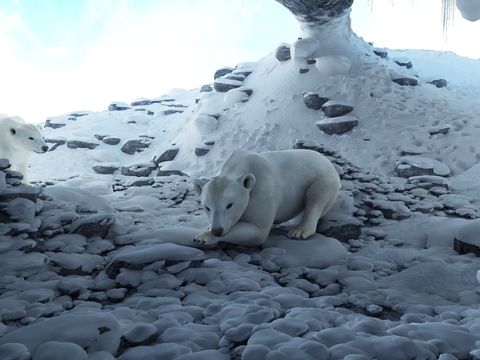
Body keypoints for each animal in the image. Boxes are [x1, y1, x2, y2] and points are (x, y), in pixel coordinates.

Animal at [193, 148, 340, 246]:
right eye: (207, 207)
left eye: (229, 205)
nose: (217, 231)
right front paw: (208, 228)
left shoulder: (262, 187)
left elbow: (258, 231)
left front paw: (202, 237)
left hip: (327, 178)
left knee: (318, 190)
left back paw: (298, 231)